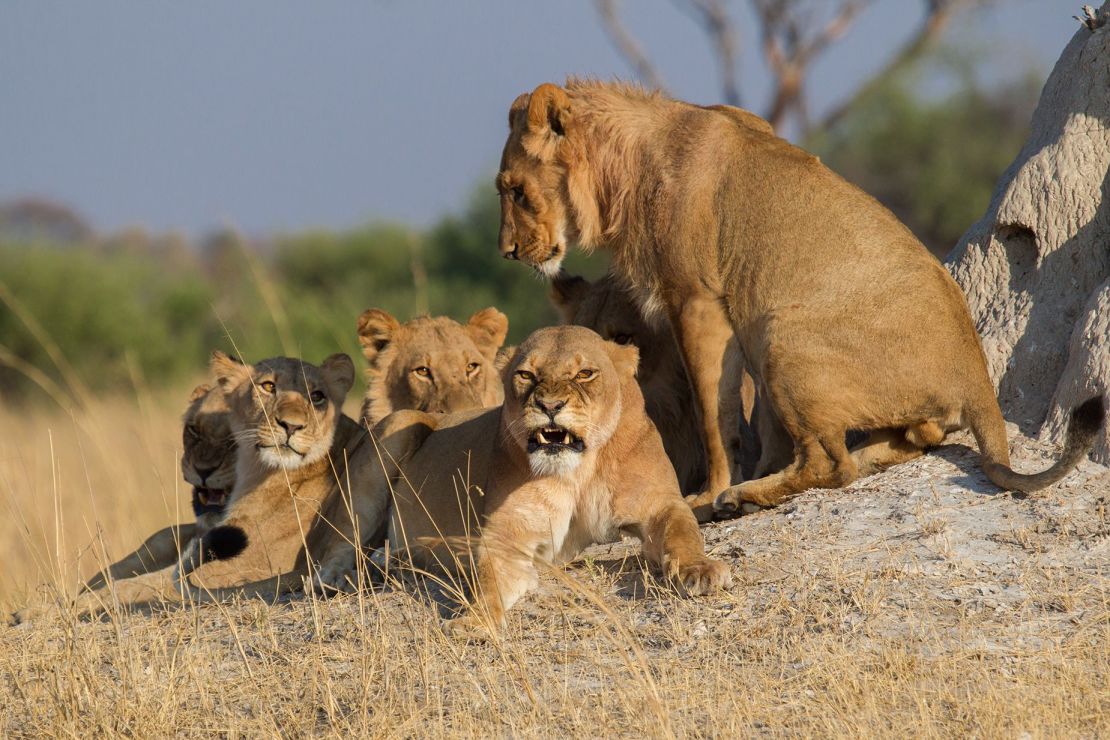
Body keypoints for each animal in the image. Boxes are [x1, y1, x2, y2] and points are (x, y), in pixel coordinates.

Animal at [315, 326, 728, 639]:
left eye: (584, 374)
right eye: (526, 375)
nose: (549, 406)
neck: (578, 471)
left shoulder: (660, 503)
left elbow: (683, 532)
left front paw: (700, 571)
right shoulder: (507, 536)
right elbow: (489, 583)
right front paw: (474, 621)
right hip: (399, 427)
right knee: (340, 539)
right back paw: (339, 577)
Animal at [495, 78, 1101, 512]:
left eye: (515, 191)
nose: (508, 252)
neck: (628, 164)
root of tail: (977, 373)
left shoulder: (697, 301)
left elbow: (715, 411)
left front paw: (708, 493)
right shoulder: (736, 310)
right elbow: (758, 419)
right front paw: (759, 467)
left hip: (782, 334)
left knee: (832, 466)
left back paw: (743, 497)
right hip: (780, 337)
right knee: (903, 440)